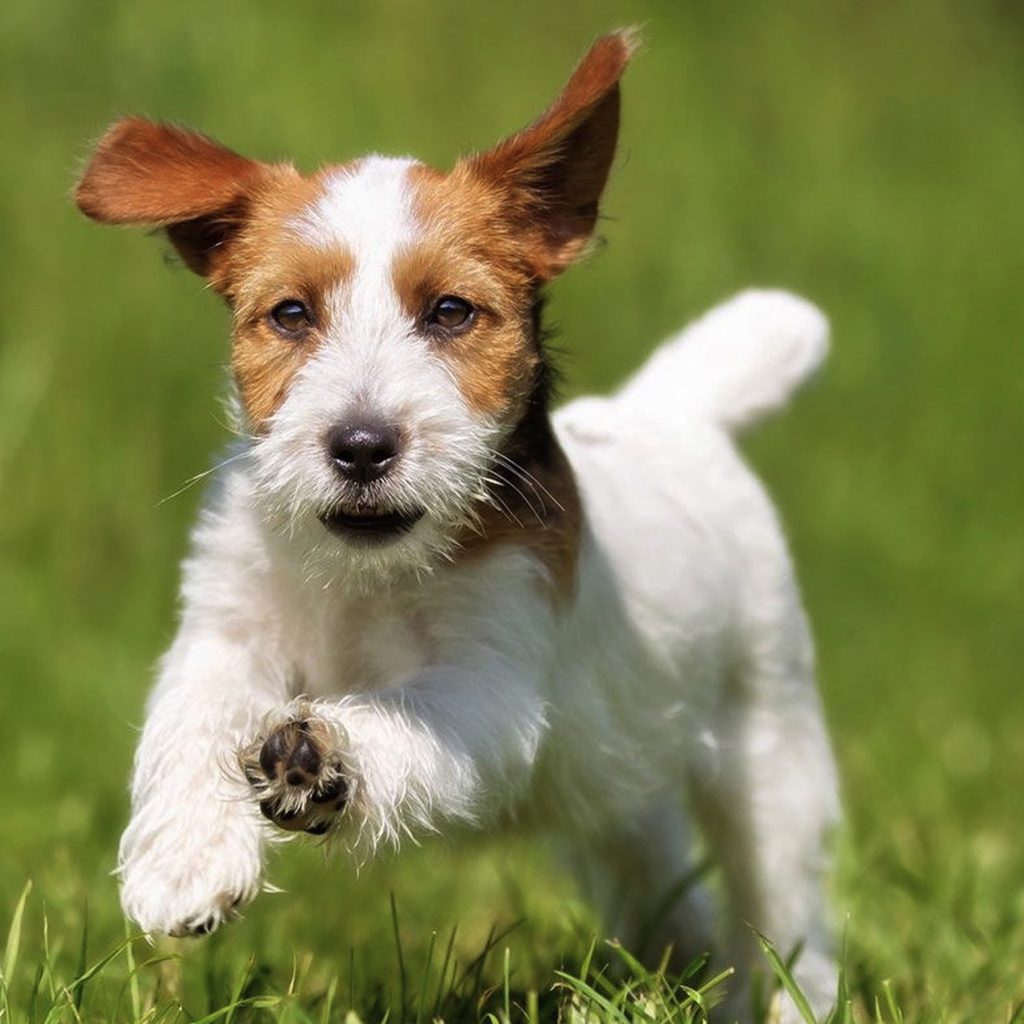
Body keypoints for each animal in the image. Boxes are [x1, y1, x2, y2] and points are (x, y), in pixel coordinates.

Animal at [74, 28, 839, 1019]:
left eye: (449, 311)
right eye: (291, 313)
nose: (361, 446)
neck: (364, 576)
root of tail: (679, 412)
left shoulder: (490, 681)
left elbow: (405, 713)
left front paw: (325, 753)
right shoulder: (225, 628)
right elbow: (191, 719)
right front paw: (187, 860)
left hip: (769, 747)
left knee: (785, 911)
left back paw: (781, 997)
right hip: (621, 796)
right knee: (665, 885)